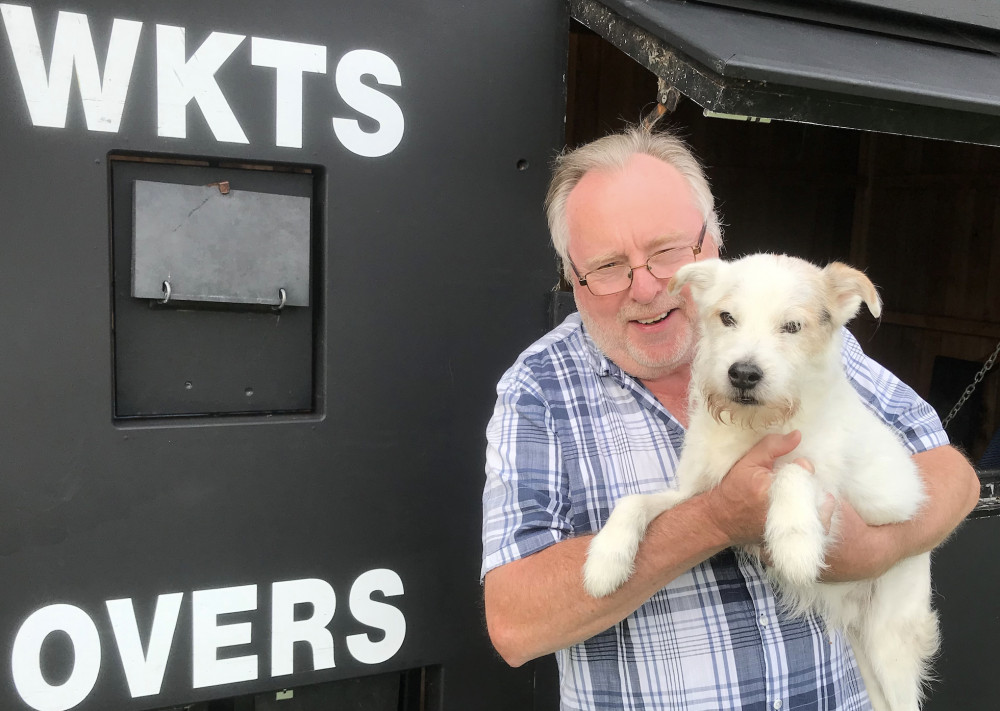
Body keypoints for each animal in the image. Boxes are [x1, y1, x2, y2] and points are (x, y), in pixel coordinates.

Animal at [584, 256, 940, 711]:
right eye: (727, 318)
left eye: (792, 326)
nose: (743, 374)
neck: (754, 424)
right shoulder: (691, 494)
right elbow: (633, 501)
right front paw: (605, 560)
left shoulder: (834, 496)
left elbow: (792, 471)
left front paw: (794, 542)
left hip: (888, 643)